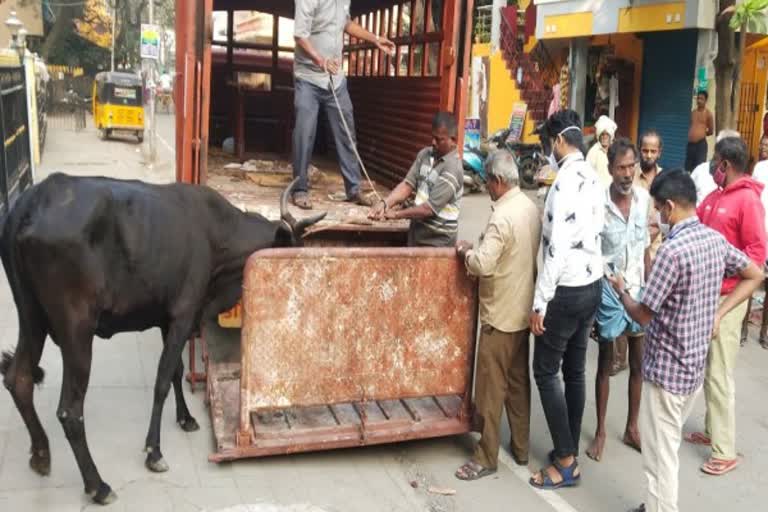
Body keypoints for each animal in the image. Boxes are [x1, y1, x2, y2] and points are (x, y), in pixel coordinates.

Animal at [0, 173, 320, 504]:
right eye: (294, 258)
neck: (216, 234)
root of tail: (33, 199)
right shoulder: (183, 315)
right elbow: (163, 380)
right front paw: (154, 451)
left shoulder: (169, 321)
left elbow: (176, 371)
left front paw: (186, 418)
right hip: (76, 330)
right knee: (69, 410)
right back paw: (97, 484)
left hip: (31, 317)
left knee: (18, 379)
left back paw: (41, 454)